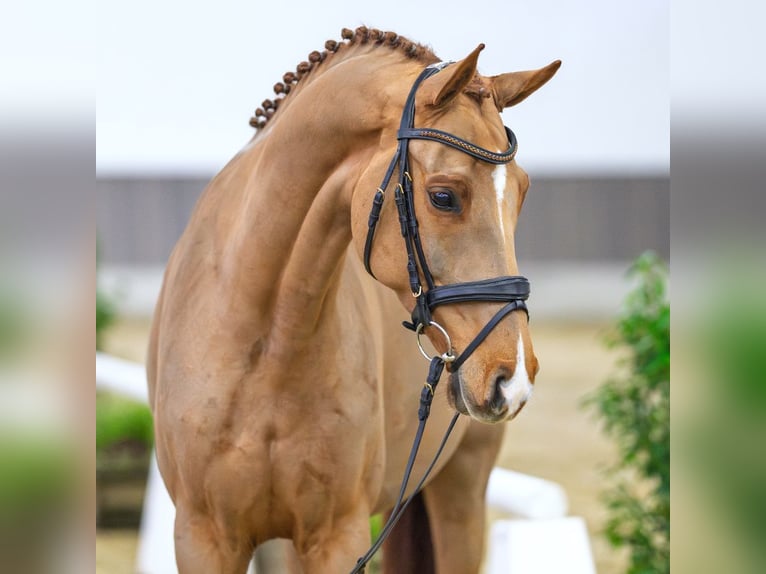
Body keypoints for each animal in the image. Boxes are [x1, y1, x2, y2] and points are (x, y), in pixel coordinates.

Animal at [147, 26, 559, 573]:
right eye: (444, 196)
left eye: (523, 192)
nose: (511, 377)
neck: (264, 342)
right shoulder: (204, 537)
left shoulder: (337, 535)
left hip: (462, 490)